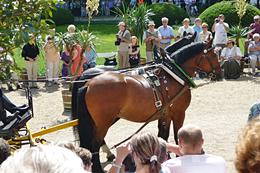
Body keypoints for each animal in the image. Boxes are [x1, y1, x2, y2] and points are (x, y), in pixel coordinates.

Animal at [73, 40, 221, 172]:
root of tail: (89, 83)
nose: (220, 74)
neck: (173, 76)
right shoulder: (179, 113)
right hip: (104, 121)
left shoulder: (165, 114)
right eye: (214, 55)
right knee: (94, 145)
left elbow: (162, 137)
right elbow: (177, 137)